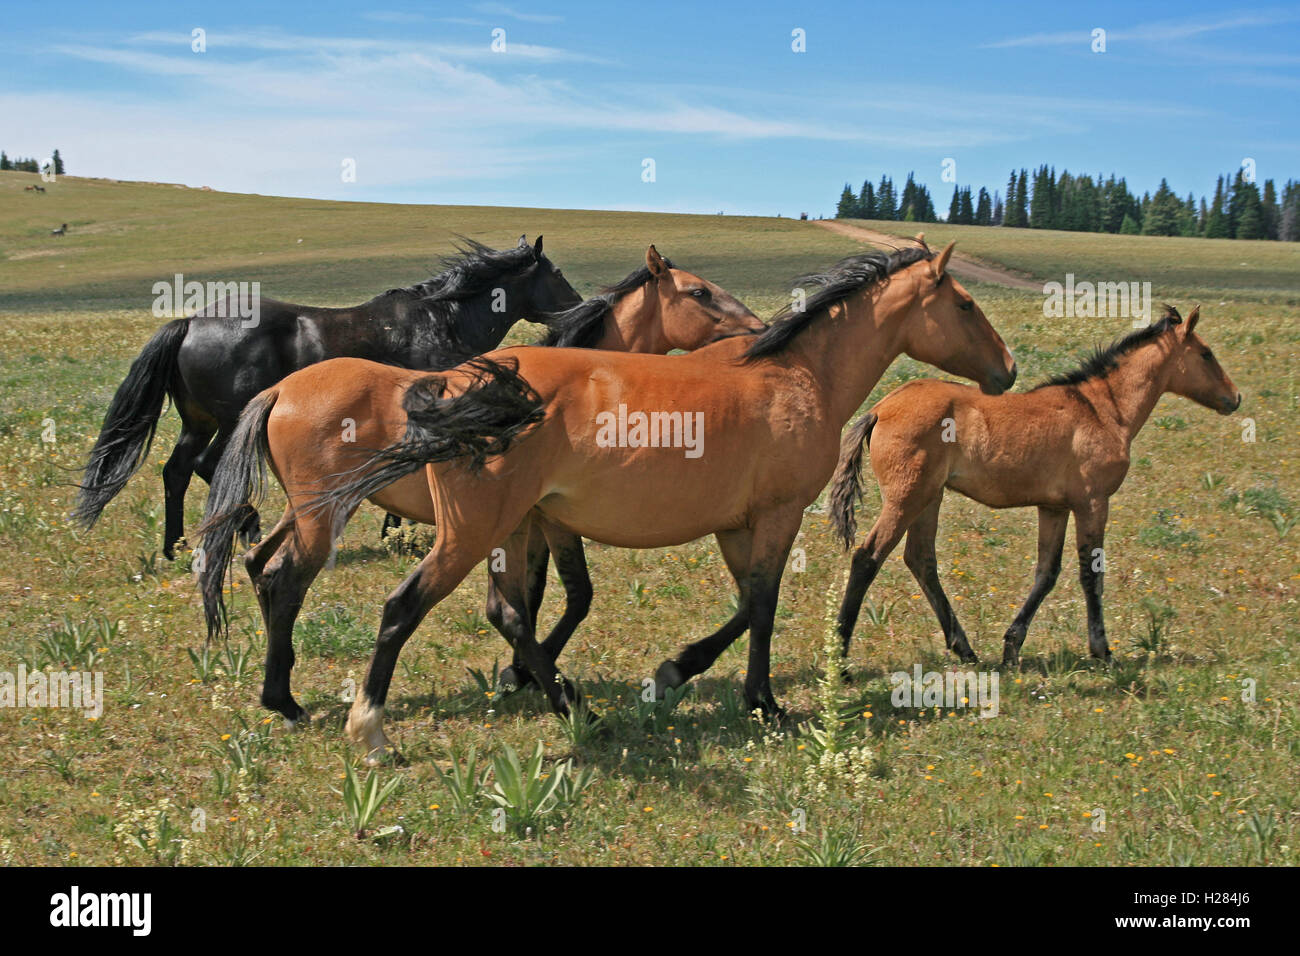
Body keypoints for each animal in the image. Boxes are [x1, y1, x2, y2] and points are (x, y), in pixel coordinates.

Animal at [73, 235, 579, 558]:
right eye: (556, 272)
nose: (579, 306)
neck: (442, 320)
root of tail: (190, 323)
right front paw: (397, 533)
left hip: (198, 422)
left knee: (176, 470)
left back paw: (175, 547)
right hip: (230, 420)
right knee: (205, 465)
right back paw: (247, 527)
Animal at [196, 246, 766, 725]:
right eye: (698, 292)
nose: (757, 330)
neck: (575, 387)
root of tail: (280, 391)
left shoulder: (532, 523)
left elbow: (543, 598)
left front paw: (525, 673)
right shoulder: (539, 521)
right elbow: (560, 597)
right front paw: (530, 675)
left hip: (309, 509)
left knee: (260, 564)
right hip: (324, 517)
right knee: (287, 580)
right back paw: (286, 702)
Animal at [286, 240, 1016, 761]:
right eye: (966, 306)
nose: (1008, 372)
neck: (798, 375)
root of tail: (455, 384)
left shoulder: (736, 527)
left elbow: (748, 606)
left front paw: (700, 681)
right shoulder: (776, 516)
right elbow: (762, 605)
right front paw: (748, 697)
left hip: (510, 528)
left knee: (508, 613)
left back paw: (574, 707)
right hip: (470, 533)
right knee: (401, 607)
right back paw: (371, 732)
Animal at [829, 305, 1240, 667]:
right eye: (1206, 353)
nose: (1235, 397)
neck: (1103, 410)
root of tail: (880, 408)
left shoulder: (1054, 508)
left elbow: (1047, 573)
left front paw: (1012, 646)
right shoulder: (1093, 503)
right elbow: (1090, 575)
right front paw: (1102, 651)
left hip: (930, 497)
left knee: (921, 559)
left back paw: (965, 650)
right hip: (907, 498)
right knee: (868, 557)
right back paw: (842, 658)